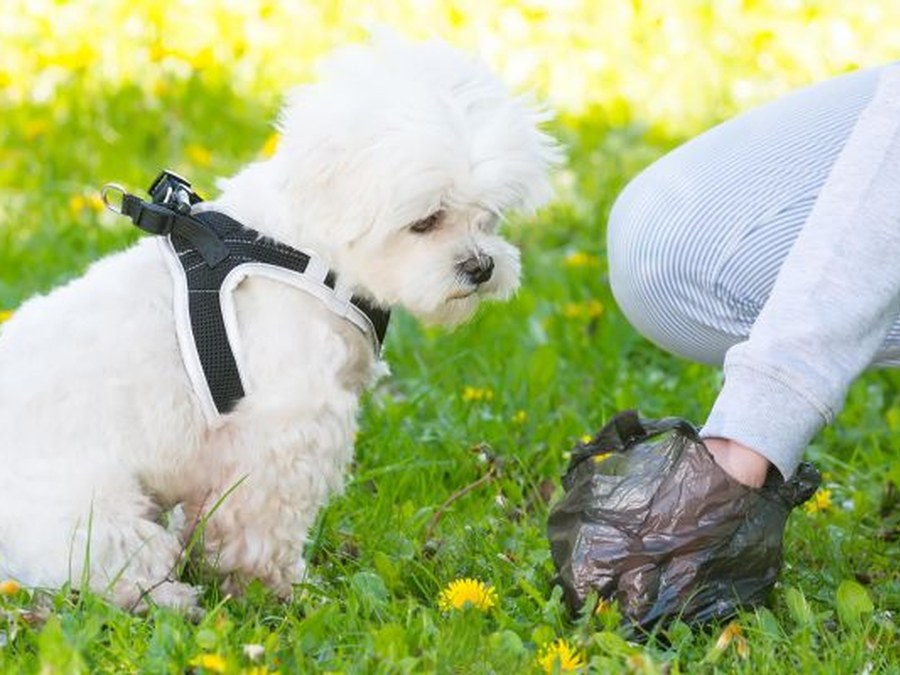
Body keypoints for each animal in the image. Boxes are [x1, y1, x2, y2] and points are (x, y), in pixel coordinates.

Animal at [0, 34, 556, 608]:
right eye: (425, 221)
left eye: (488, 216)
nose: (481, 266)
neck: (304, 251)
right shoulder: (284, 431)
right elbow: (259, 525)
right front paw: (276, 588)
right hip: (91, 516)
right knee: (118, 566)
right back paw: (172, 598)